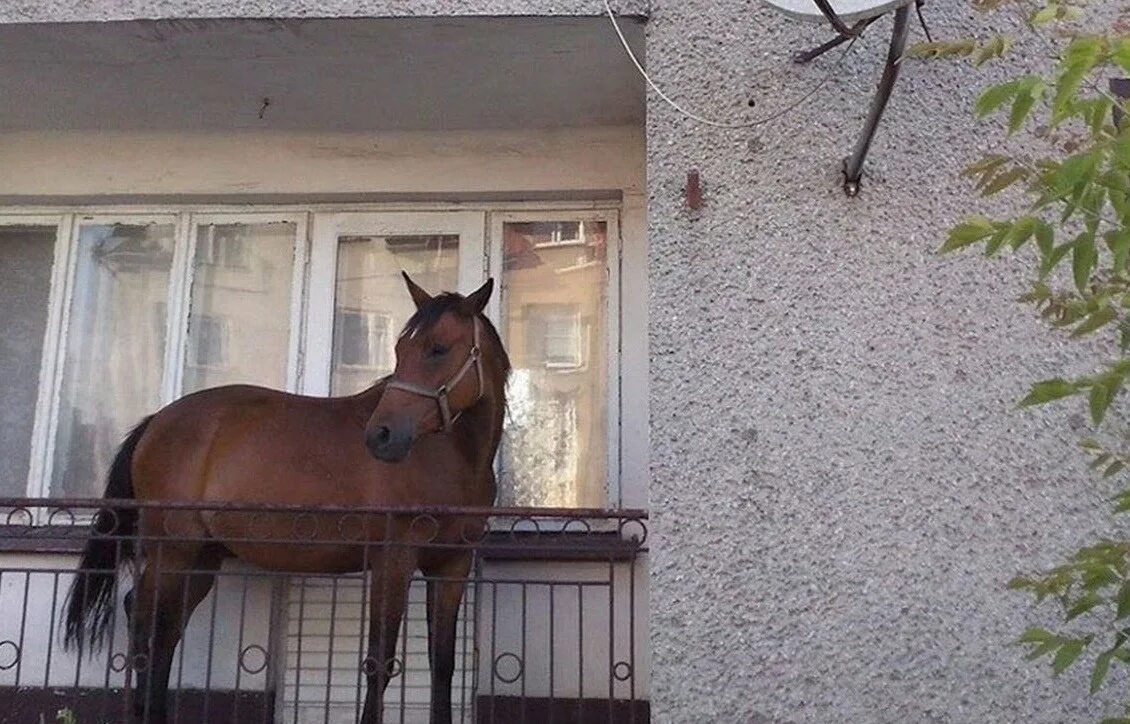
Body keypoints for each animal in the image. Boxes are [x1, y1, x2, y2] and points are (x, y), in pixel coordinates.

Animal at [57, 272, 508, 722]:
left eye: (438, 348)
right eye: (400, 350)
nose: (381, 436)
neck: (452, 456)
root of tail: (155, 422)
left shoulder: (451, 567)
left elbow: (443, 665)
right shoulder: (392, 561)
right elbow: (380, 663)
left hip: (201, 559)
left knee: (164, 631)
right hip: (173, 551)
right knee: (145, 623)